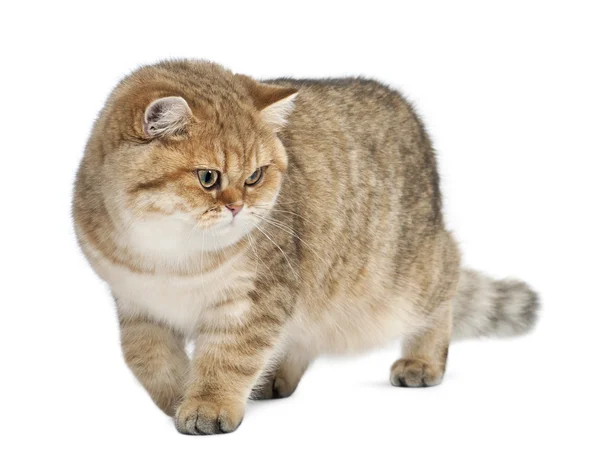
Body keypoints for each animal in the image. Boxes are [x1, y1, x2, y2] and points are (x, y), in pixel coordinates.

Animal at [71, 59, 540, 434]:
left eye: (255, 176)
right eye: (207, 177)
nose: (238, 207)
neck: (170, 255)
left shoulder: (256, 297)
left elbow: (228, 358)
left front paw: (208, 403)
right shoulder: (136, 304)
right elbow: (148, 360)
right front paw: (178, 397)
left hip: (409, 273)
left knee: (446, 291)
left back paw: (422, 361)